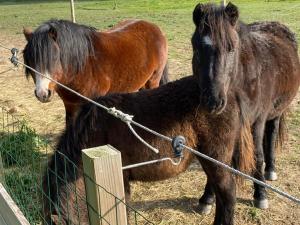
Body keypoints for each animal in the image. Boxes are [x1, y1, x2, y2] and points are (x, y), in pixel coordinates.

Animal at [22, 19, 169, 124]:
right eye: (30, 60)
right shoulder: (70, 105)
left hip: (153, 80)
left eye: (53, 57)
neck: (82, 66)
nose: (42, 94)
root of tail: (156, 28)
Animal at [191, 1, 300, 209]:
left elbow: (258, 155)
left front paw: (261, 194)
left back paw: (270, 170)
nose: (212, 101)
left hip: (274, 113)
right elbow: (218, 160)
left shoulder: (257, 121)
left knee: (271, 136)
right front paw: (207, 197)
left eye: (231, 48)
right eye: (196, 48)